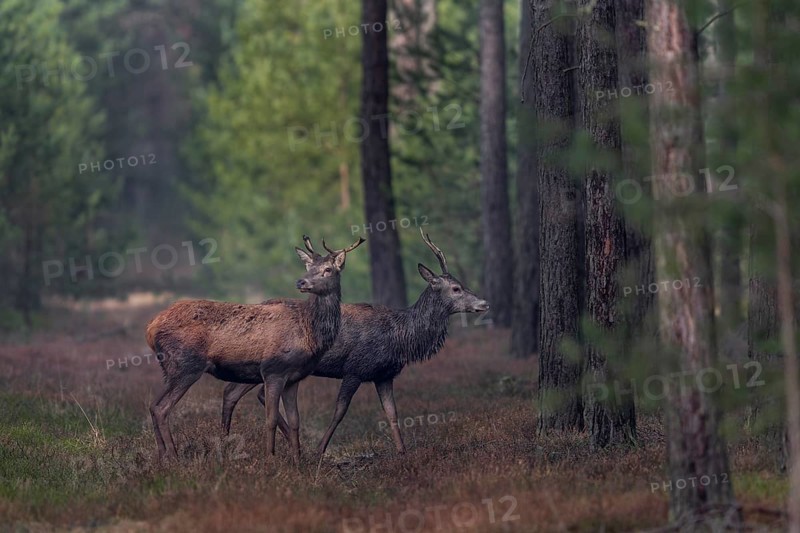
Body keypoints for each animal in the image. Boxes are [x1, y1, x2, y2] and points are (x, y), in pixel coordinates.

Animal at [145, 235, 364, 463]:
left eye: (328, 269)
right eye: (308, 266)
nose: (301, 282)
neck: (309, 332)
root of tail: (150, 328)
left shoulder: (294, 378)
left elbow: (295, 420)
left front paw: (297, 461)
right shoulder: (274, 371)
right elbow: (270, 419)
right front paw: (270, 458)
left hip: (173, 369)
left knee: (153, 405)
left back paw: (162, 456)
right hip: (186, 366)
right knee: (161, 408)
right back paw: (173, 457)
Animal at [220, 229, 489, 455]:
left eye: (462, 284)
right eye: (456, 288)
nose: (484, 303)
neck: (400, 337)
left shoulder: (384, 374)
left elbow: (392, 413)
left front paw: (403, 453)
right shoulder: (355, 369)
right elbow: (340, 412)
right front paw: (319, 450)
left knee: (233, 391)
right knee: (254, 393)